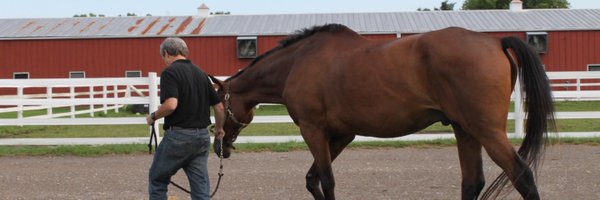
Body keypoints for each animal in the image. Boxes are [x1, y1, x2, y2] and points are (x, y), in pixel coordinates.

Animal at [209, 23, 556, 200]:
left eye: (218, 108)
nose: (219, 147)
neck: (298, 62)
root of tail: (495, 41)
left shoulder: (313, 131)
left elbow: (326, 181)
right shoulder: (341, 135)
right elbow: (312, 180)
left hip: (487, 131)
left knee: (523, 176)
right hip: (466, 131)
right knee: (472, 183)